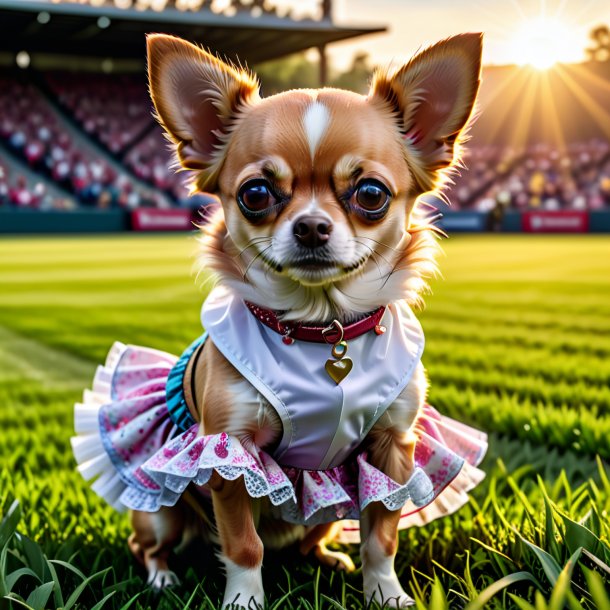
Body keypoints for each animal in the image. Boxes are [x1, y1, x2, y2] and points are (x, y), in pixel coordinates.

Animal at [71, 32, 484, 608]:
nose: (310, 226)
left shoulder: (392, 451)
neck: (322, 331)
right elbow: (245, 546)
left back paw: (327, 558)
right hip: (162, 513)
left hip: (326, 513)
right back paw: (162, 577)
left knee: (314, 536)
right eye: (256, 194)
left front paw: (386, 594)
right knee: (147, 544)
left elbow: (381, 537)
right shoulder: (228, 454)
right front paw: (244, 600)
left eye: (371, 194)